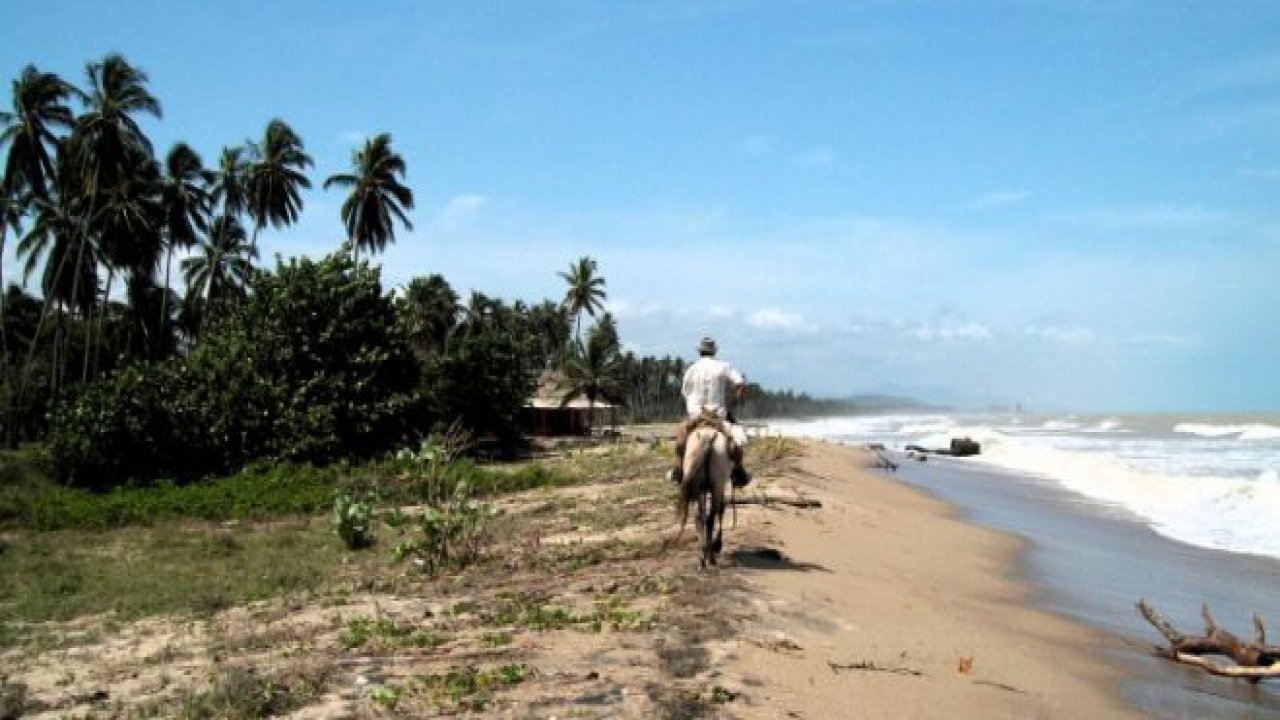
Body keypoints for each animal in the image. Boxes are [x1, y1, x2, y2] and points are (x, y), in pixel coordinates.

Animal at [670, 420, 732, 566]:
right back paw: (710, 556)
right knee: (710, 517)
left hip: (698, 488)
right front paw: (717, 545)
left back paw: (703, 556)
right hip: (715, 487)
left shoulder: (702, 491)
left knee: (700, 517)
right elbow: (721, 511)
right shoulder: (719, 489)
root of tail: (706, 437)